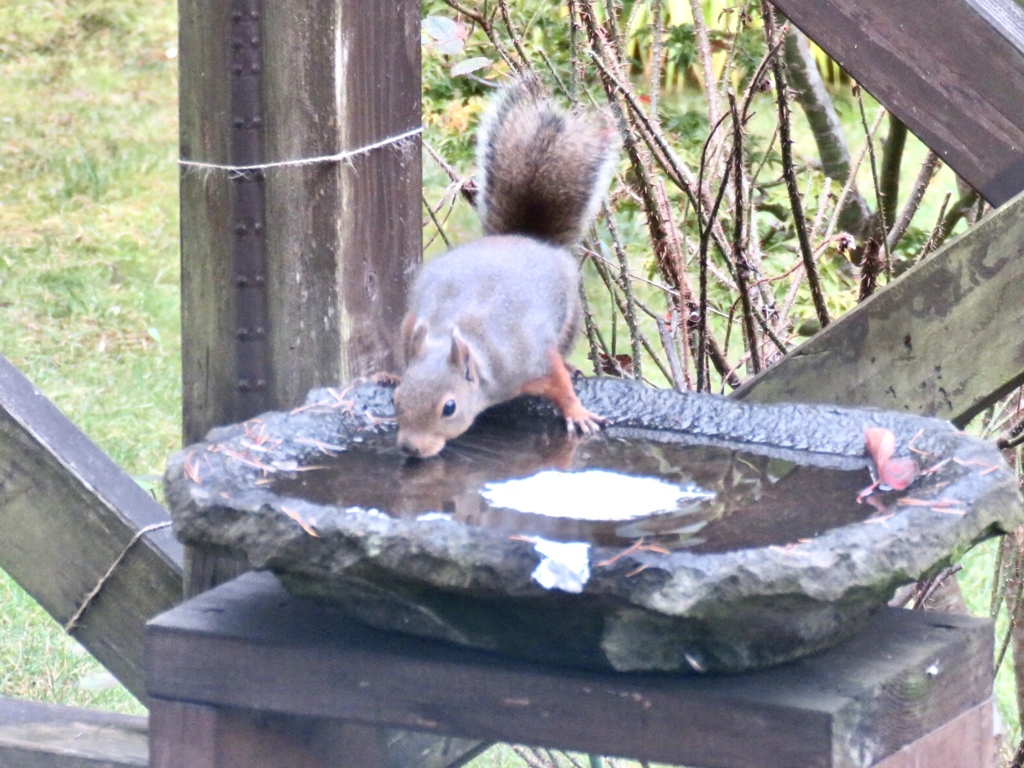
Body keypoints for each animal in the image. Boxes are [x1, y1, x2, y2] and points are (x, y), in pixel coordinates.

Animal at [391, 83, 614, 456]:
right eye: (396, 400)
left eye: (449, 407)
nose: (410, 448)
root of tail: (525, 239)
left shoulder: (531, 359)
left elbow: (559, 384)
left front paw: (578, 413)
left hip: (569, 321)